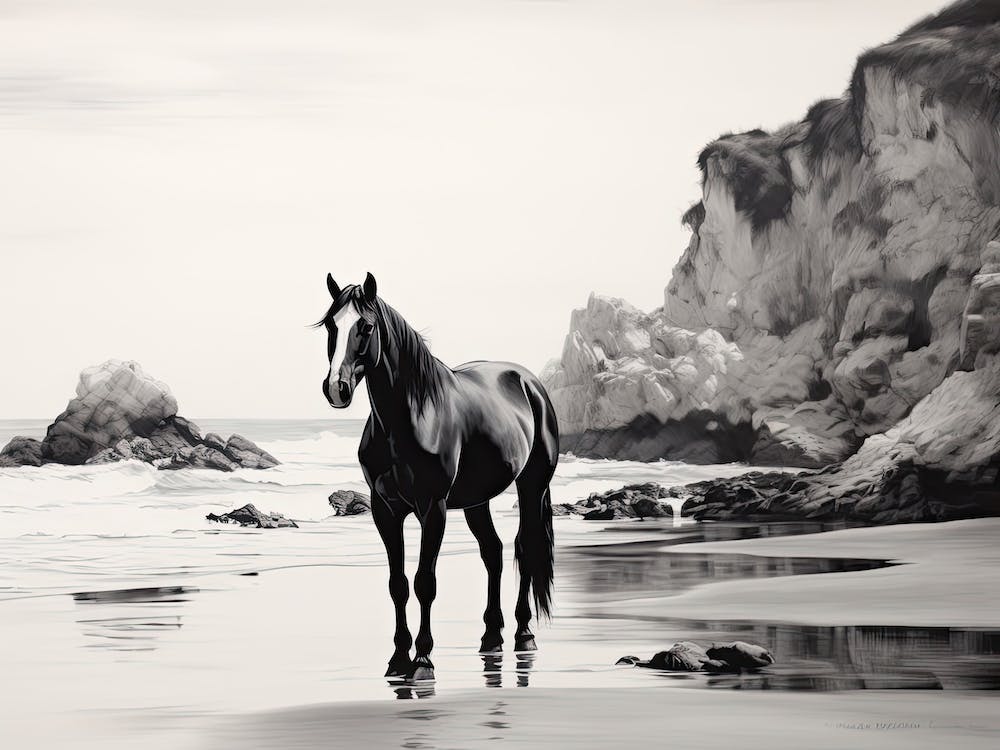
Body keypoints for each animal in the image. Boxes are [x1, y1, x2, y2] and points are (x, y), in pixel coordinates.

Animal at [317, 272, 559, 681]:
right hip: (478, 499)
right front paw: (398, 659)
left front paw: (423, 660)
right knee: (493, 552)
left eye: (366, 326)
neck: (409, 417)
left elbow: (424, 582)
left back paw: (523, 634)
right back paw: (491, 637)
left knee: (524, 547)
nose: (337, 388)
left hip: (531, 486)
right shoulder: (385, 509)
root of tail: (529, 383)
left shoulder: (433, 508)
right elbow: (398, 584)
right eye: (331, 325)